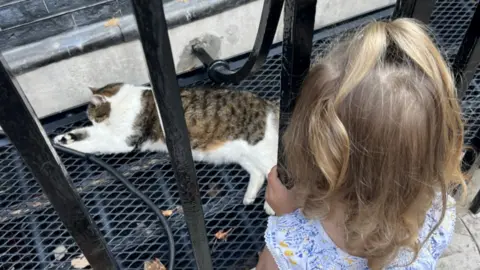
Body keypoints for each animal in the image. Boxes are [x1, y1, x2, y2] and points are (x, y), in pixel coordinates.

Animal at [53, 83, 278, 214]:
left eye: (92, 114)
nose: (92, 119)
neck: (123, 101)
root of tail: (268, 104)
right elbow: (87, 135)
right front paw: (64, 138)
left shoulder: (121, 140)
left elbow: (95, 142)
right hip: (242, 155)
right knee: (258, 173)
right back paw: (249, 196)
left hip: (260, 149)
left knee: (275, 173)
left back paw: (270, 206)